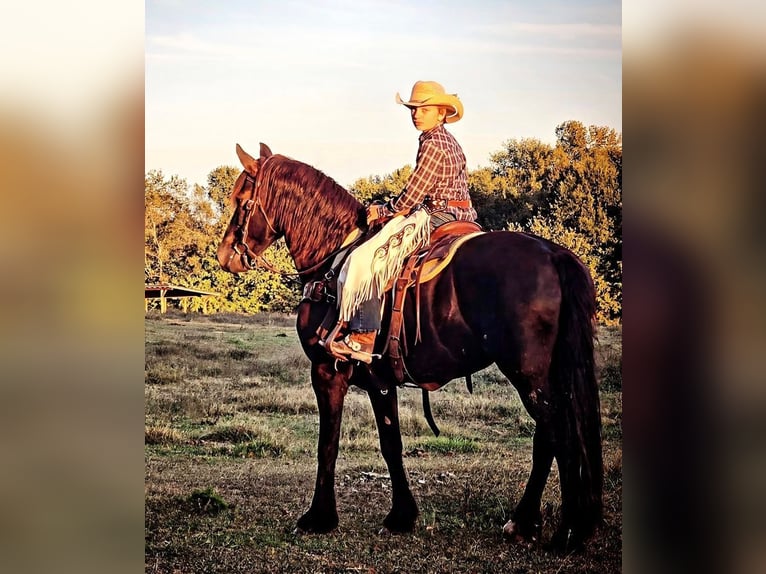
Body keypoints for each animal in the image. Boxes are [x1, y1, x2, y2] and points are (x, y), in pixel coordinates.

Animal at [216, 143, 603, 552]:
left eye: (242, 200)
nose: (225, 255)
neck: (332, 260)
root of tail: (553, 254)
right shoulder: (380, 380)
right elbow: (391, 443)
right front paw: (401, 515)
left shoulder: (326, 371)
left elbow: (328, 442)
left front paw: (319, 517)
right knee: (548, 436)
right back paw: (528, 523)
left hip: (527, 373)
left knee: (556, 434)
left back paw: (565, 532)